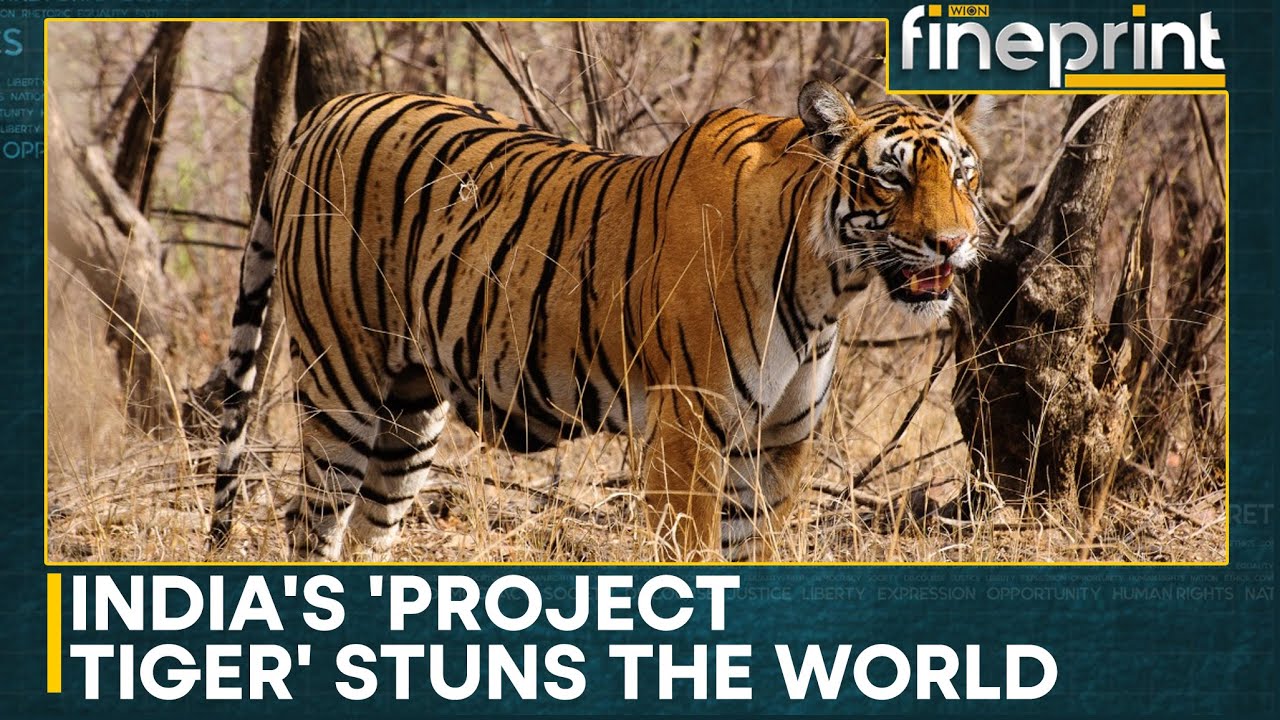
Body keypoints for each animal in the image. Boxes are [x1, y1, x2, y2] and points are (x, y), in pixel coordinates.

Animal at [208, 81, 987, 562]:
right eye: (892, 177)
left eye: (962, 174)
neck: (828, 284)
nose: (954, 243)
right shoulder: (687, 429)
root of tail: (326, 108)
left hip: (408, 414)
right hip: (341, 382)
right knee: (309, 523)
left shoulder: (779, 441)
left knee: (371, 529)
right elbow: (693, 553)